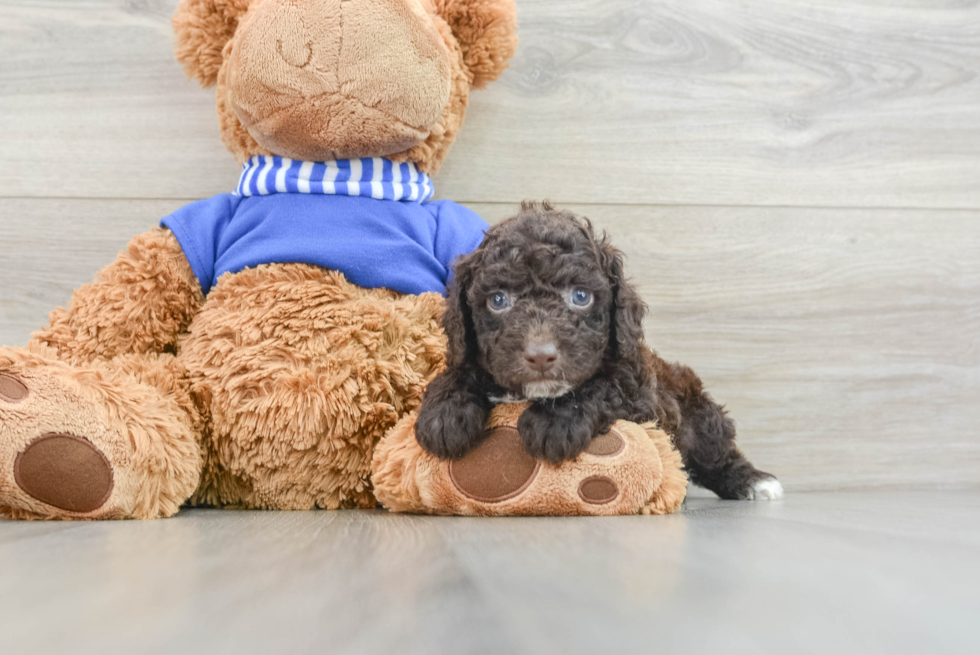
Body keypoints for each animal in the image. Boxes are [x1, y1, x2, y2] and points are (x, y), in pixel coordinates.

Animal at [418, 202, 784, 500]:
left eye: (581, 296)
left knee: (715, 454)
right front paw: (445, 414)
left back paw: (754, 482)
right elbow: (460, 371)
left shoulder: (641, 395)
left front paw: (554, 422)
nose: (540, 356)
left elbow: (604, 386)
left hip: (700, 417)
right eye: (498, 300)